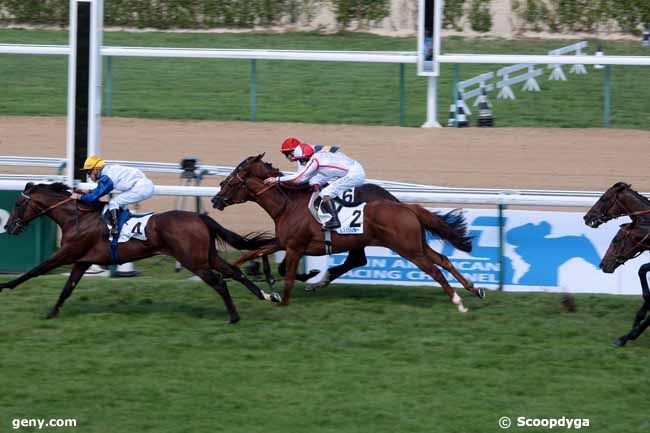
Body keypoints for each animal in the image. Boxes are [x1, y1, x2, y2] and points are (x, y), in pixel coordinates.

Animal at [2, 181, 280, 320]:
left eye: (17, 204)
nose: (8, 226)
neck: (76, 218)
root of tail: (201, 217)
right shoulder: (82, 260)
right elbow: (67, 288)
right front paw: (52, 312)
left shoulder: (68, 253)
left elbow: (37, 269)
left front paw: (5, 285)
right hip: (207, 256)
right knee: (234, 272)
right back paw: (267, 296)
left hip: (193, 261)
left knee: (220, 281)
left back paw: (234, 316)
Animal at [210, 154, 484, 310]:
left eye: (232, 181)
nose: (215, 200)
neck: (287, 204)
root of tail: (405, 206)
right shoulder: (283, 242)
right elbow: (254, 253)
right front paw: (230, 270)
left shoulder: (295, 246)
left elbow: (286, 274)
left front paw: (287, 297)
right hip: (416, 244)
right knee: (443, 259)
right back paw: (474, 289)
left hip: (408, 248)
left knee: (433, 269)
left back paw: (458, 302)